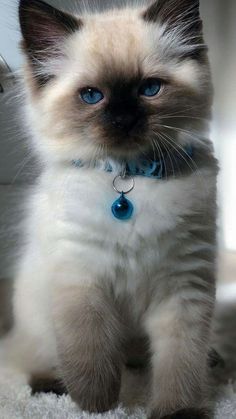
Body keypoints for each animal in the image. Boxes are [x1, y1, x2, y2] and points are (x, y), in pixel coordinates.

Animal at [0, 0, 218, 419]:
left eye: (150, 89)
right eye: (91, 96)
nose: (123, 120)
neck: (130, 177)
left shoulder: (182, 284)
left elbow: (179, 362)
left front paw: (177, 411)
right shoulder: (83, 280)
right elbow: (92, 359)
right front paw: (98, 407)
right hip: (38, 320)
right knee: (32, 360)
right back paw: (52, 386)